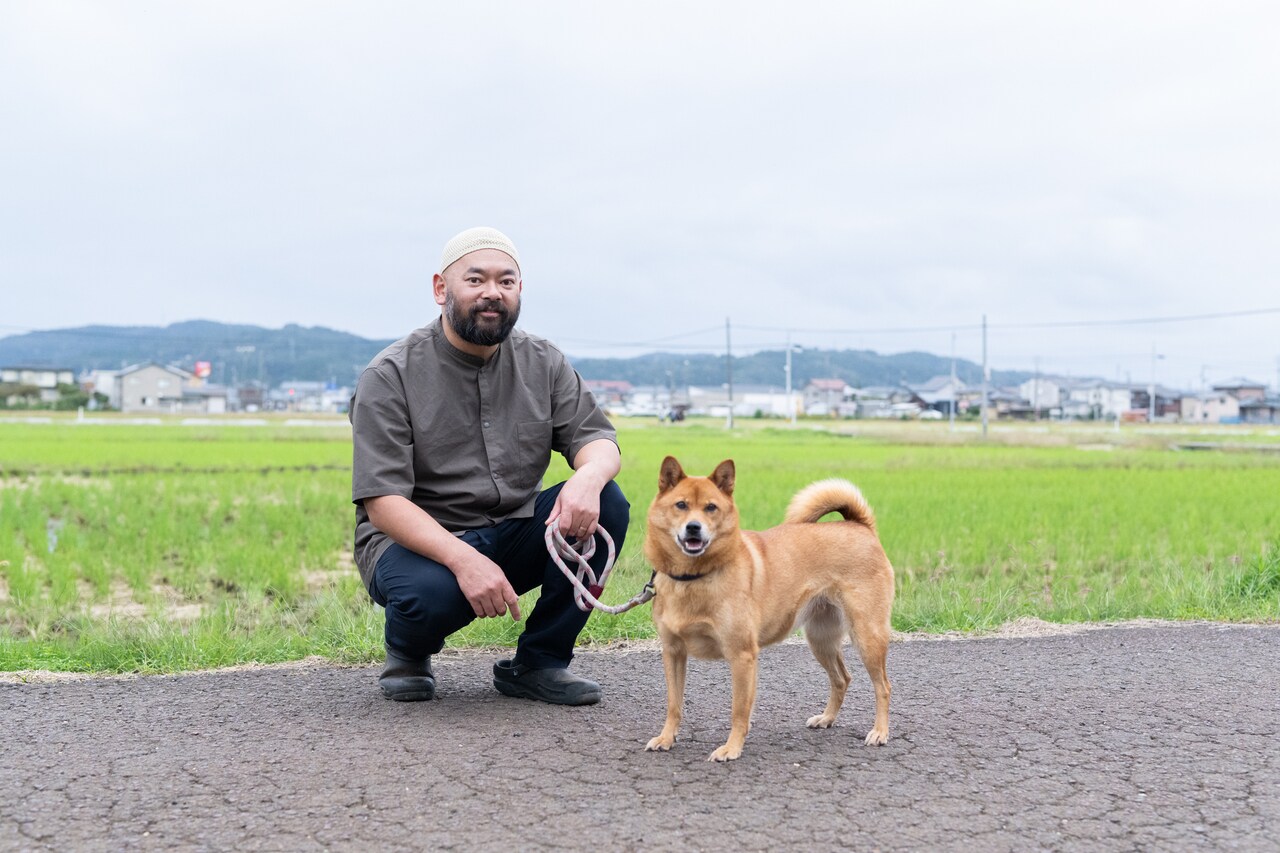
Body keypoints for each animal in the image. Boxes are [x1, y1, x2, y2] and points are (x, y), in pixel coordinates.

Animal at [645, 455, 896, 758]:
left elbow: (739, 710)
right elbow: (674, 704)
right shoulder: (673, 652)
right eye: (681, 505)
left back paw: (880, 731)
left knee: (883, 686)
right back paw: (827, 718)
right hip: (821, 639)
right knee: (842, 679)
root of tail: (860, 526)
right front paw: (666, 738)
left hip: (867, 636)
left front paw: (731, 748)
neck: (694, 578)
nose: (693, 527)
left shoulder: (742, 656)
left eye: (711, 507)